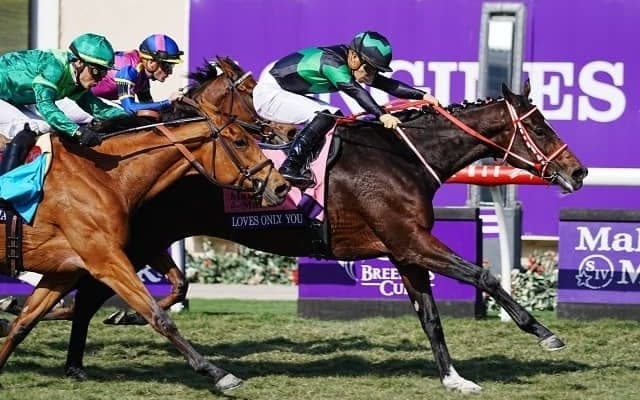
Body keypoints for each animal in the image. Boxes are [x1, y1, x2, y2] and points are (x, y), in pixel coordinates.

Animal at [0, 77, 290, 391]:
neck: (104, 174)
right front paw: (217, 372)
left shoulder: (67, 268)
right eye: (239, 141)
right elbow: (157, 316)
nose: (281, 186)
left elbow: (26, 322)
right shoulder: (108, 260)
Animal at [38, 79, 588, 394]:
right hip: (129, 240)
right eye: (540, 126)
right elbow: (483, 275)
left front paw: (454, 378)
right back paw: (79, 354)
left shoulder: (406, 250)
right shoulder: (410, 241)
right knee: (91, 295)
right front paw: (544, 333)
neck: (404, 157)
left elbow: (432, 317)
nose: (578, 172)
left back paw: (80, 357)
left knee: (100, 294)